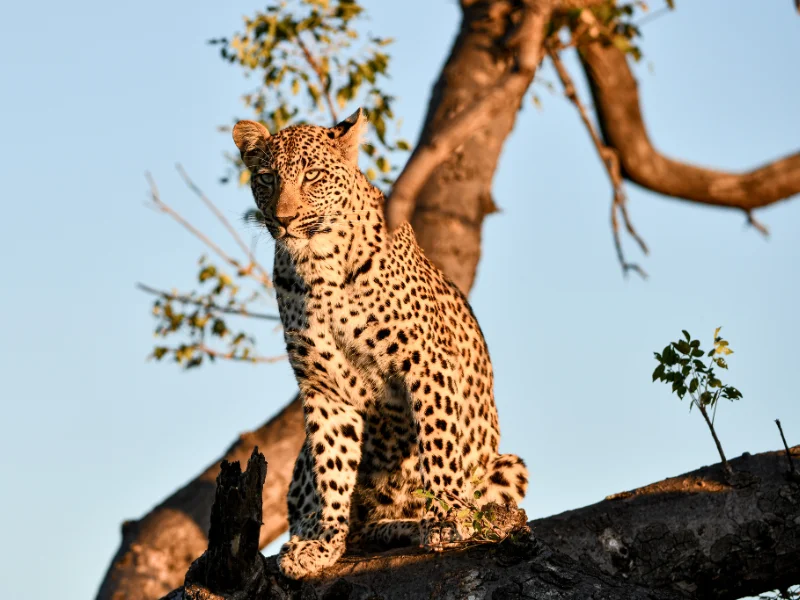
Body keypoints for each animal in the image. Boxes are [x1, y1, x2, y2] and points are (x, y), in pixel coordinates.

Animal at [232, 108, 528, 580]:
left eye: (312, 176)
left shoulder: (425, 362)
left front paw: (445, 518)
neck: (318, 262)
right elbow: (332, 467)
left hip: (508, 465)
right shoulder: (324, 387)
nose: (284, 219)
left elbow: (438, 444)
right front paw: (322, 542)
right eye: (265, 178)